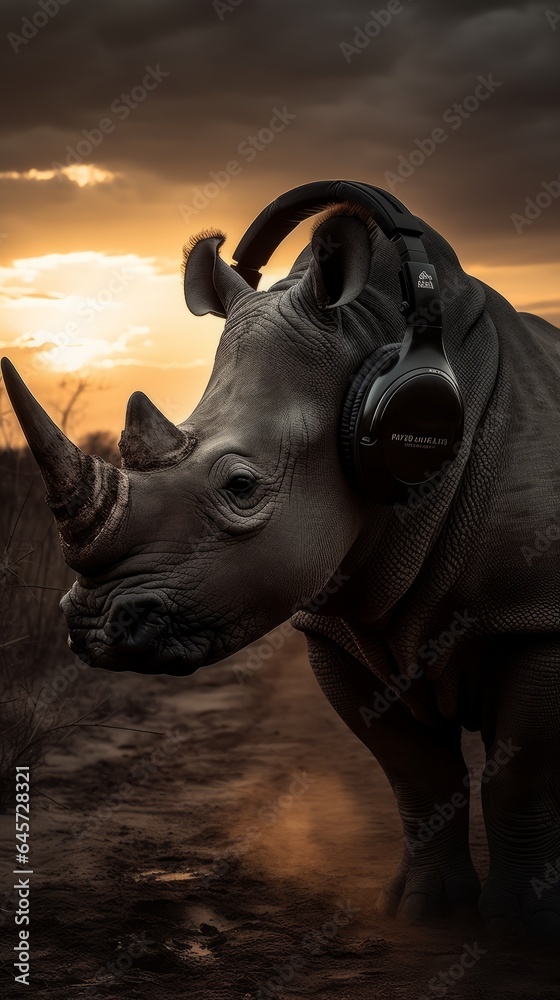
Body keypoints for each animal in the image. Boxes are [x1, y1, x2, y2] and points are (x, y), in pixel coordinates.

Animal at [2, 199, 560, 937]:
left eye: (241, 487)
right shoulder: (339, 623)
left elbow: (518, 775)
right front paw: (420, 911)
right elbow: (417, 773)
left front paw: (519, 925)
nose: (95, 628)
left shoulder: (533, 613)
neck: (375, 338)